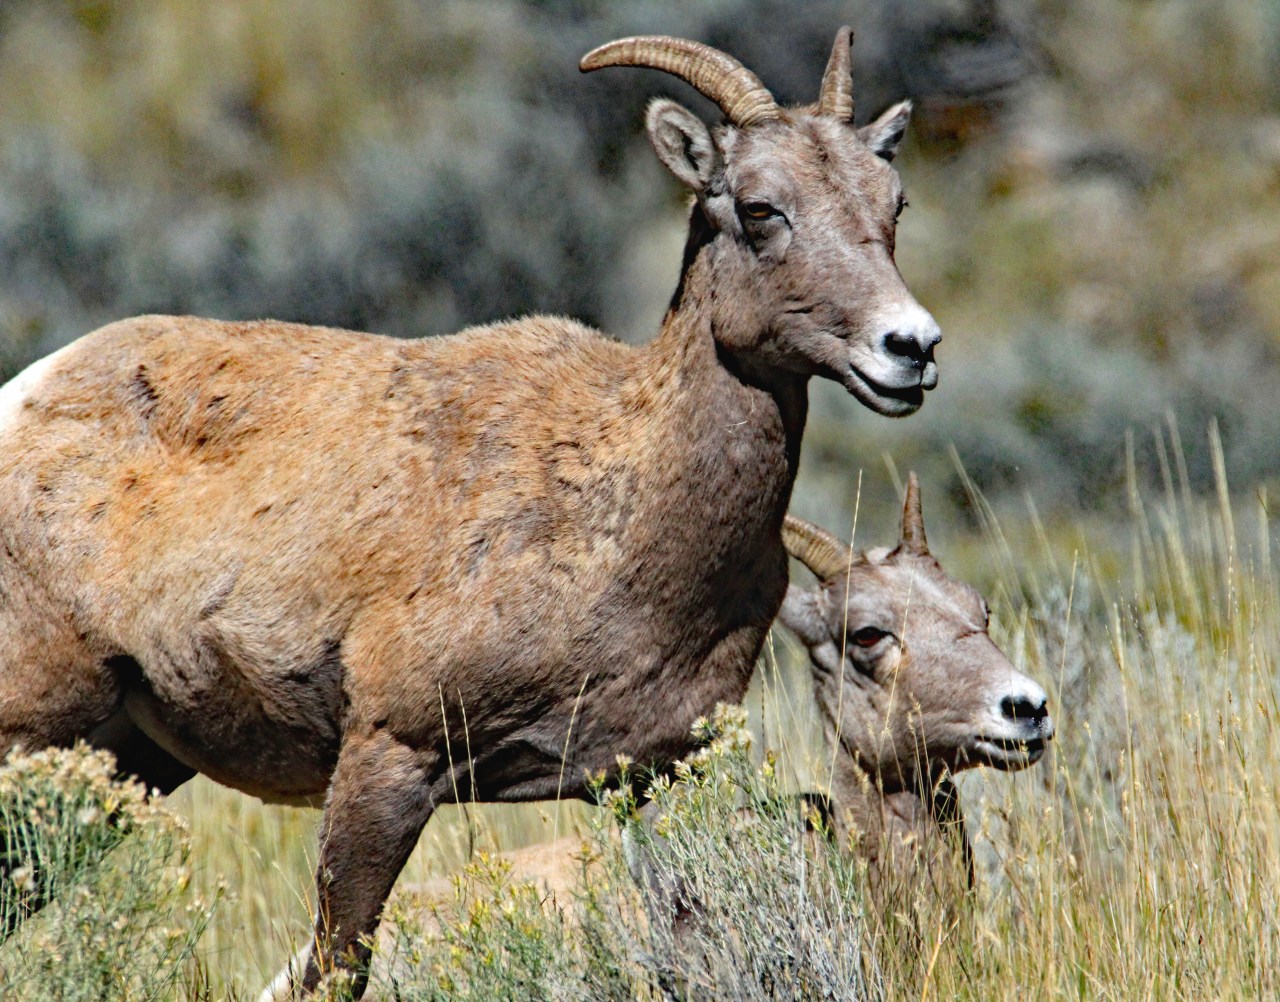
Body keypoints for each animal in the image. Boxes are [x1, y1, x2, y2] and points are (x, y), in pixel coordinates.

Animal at [0, 28, 940, 995]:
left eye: (893, 202)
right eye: (758, 209)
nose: (910, 349)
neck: (623, 518)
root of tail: (25, 397)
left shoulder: (647, 779)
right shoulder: (390, 758)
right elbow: (337, 964)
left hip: (124, 758)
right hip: (34, 718)